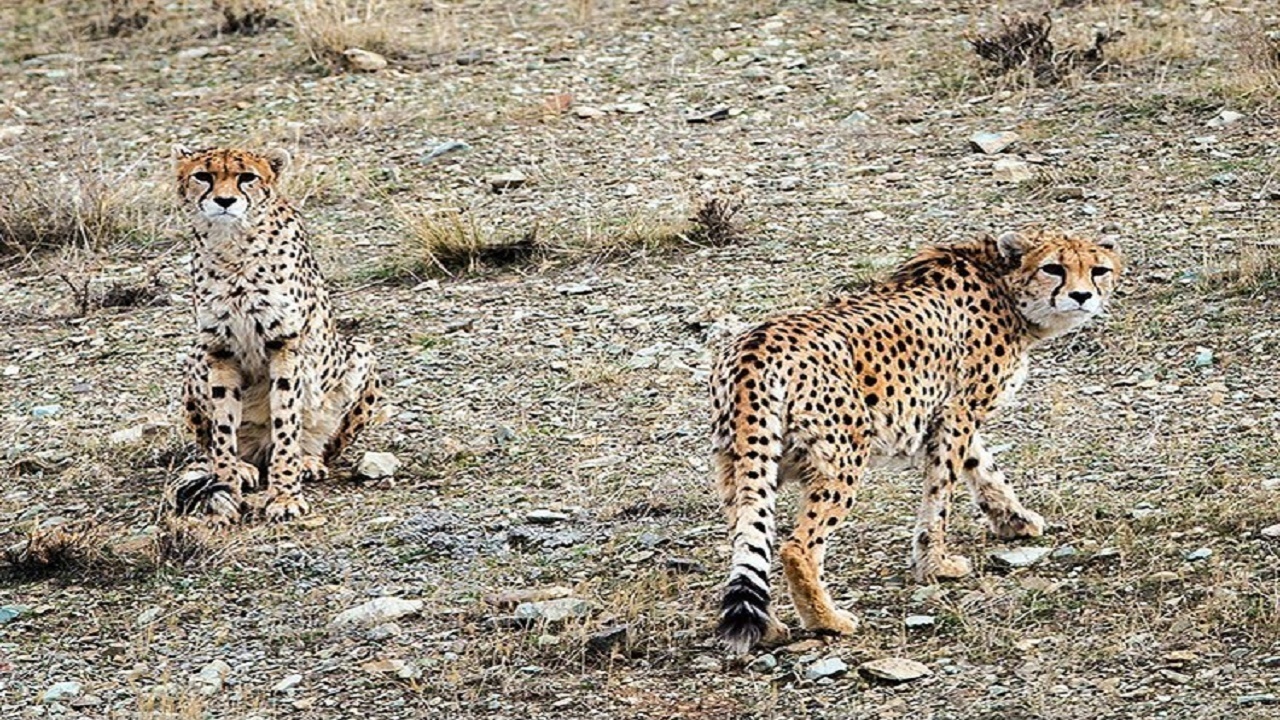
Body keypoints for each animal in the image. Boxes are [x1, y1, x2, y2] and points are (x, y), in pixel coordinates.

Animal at [163, 147, 378, 520]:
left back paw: (307, 461)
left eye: (247, 177)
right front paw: (227, 487)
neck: (232, 246)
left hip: (360, 354)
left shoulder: (285, 345)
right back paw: (242, 467)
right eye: (202, 176)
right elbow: (222, 428)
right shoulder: (218, 349)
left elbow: (286, 422)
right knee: (216, 444)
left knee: (318, 442)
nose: (224, 201)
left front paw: (285, 495)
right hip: (195, 359)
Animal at [716, 228, 1126, 650]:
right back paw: (827, 619)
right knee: (796, 546)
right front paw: (936, 564)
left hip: (744, 464)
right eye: (1053, 268)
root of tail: (755, 347)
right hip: (841, 458)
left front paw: (1014, 519)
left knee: (748, 536)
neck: (1002, 283)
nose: (1082, 296)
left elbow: (983, 467)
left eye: (1098, 270)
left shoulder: (948, 414)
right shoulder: (957, 412)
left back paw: (768, 626)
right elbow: (941, 493)